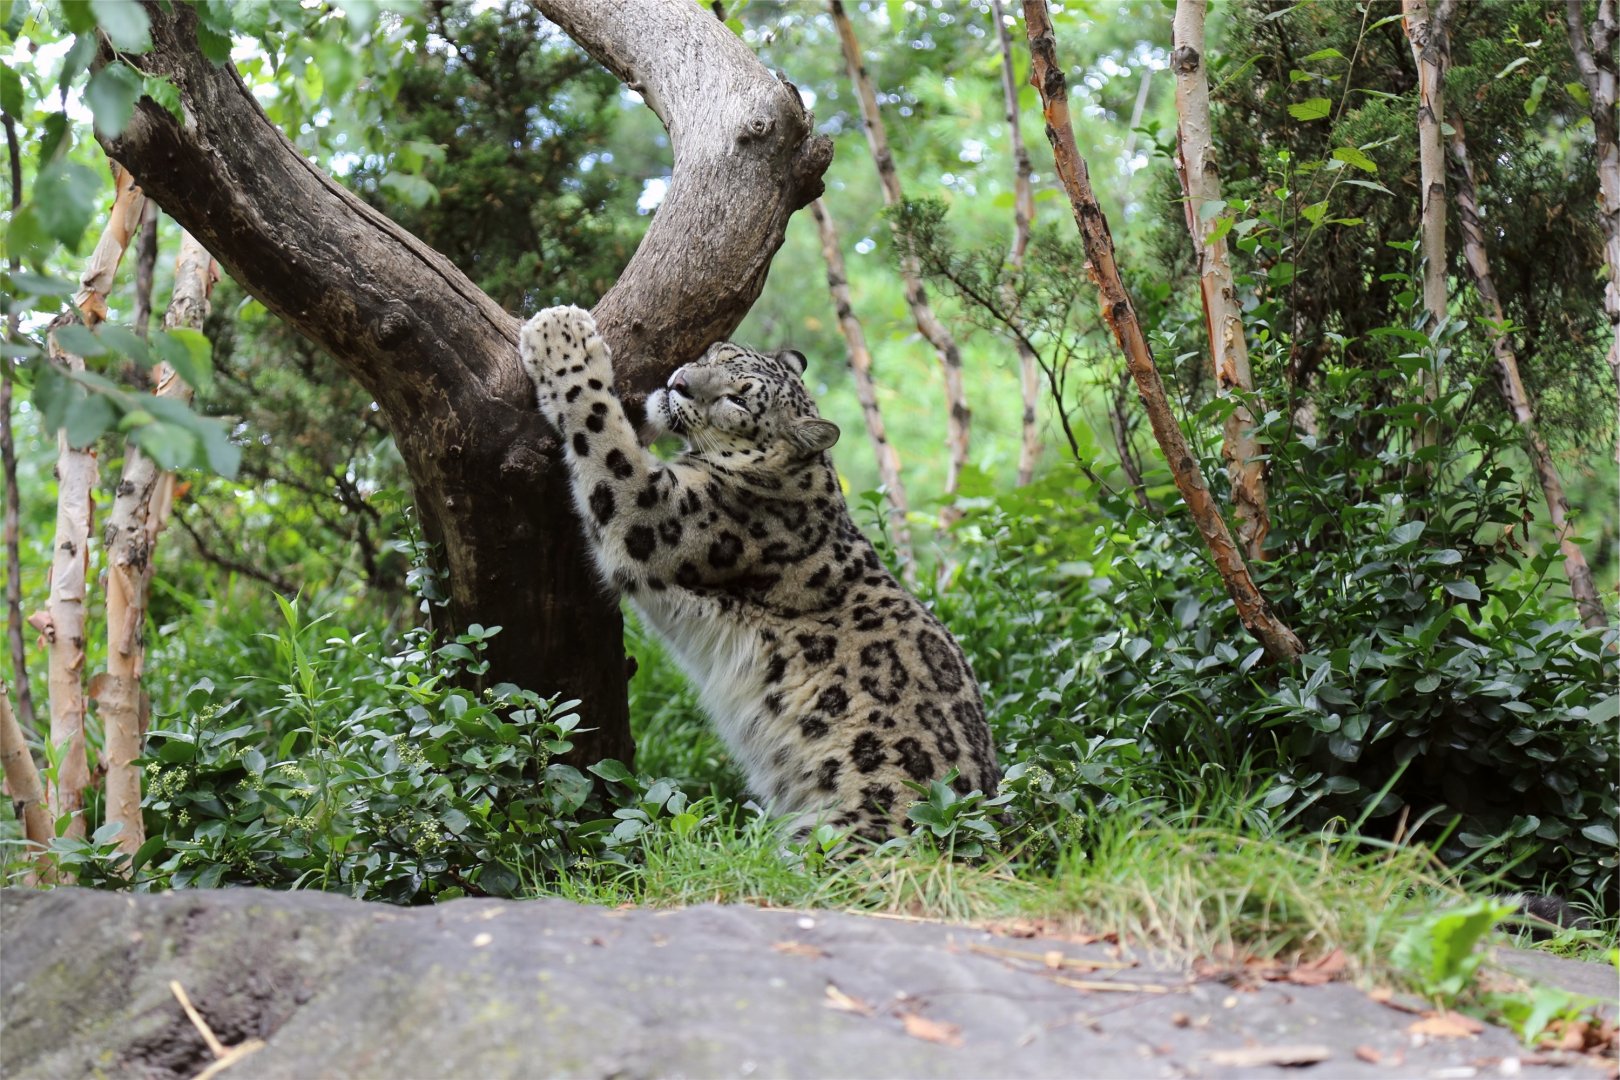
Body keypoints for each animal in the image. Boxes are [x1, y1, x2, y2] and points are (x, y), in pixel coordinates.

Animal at [519, 305, 999, 840]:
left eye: (737, 399)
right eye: (717, 353)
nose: (680, 383)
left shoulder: (653, 512)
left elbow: (604, 431)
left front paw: (562, 335)